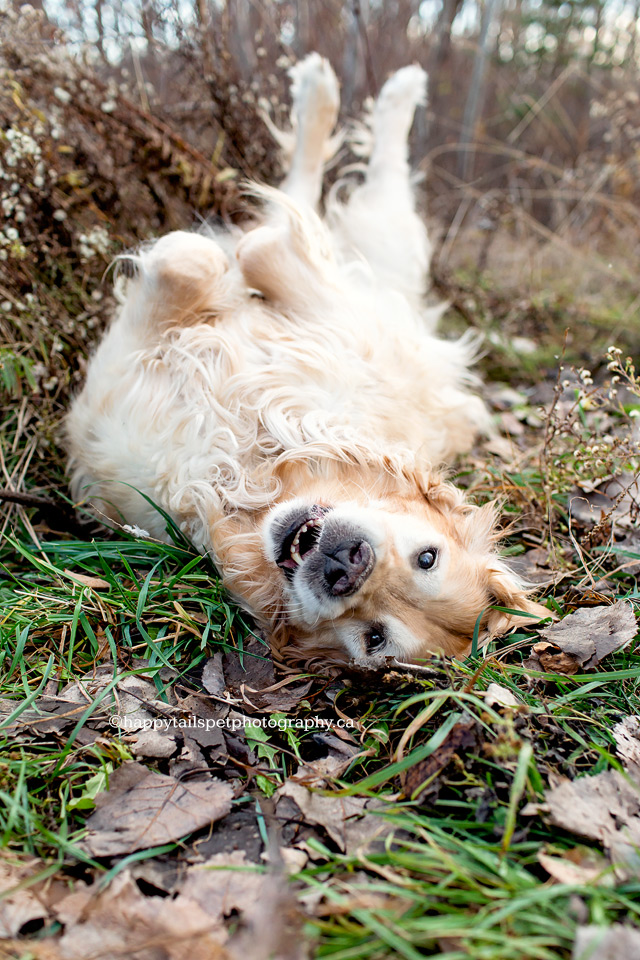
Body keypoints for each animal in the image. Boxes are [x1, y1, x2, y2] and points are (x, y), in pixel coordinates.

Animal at [63, 56, 544, 664]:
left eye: (374, 637)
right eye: (427, 556)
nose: (347, 566)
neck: (239, 472)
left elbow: (210, 253)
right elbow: (219, 253)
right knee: (321, 188)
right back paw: (350, 91)